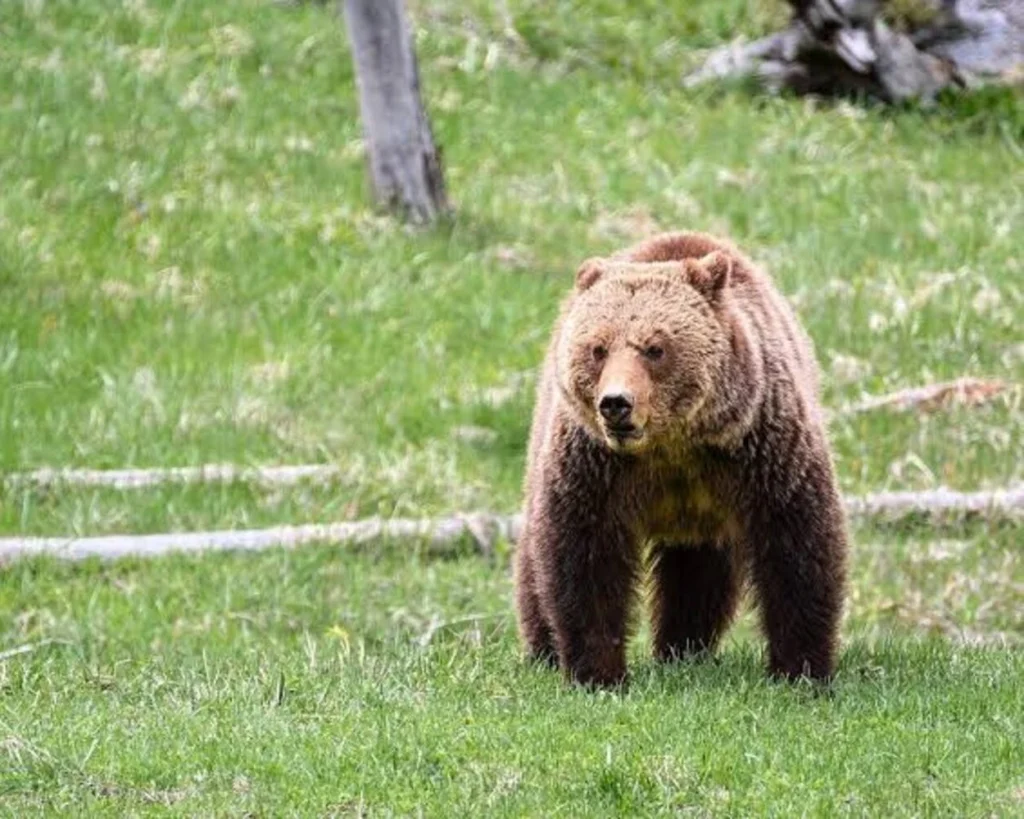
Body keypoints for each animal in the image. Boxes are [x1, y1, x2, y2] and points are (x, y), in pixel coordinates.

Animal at [514, 231, 848, 688]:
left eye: (655, 348)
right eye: (599, 348)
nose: (615, 403)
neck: (672, 444)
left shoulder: (761, 449)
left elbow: (797, 545)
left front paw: (800, 669)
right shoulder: (594, 465)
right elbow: (584, 555)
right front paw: (597, 672)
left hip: (706, 520)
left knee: (699, 576)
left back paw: (685, 648)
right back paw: (544, 648)